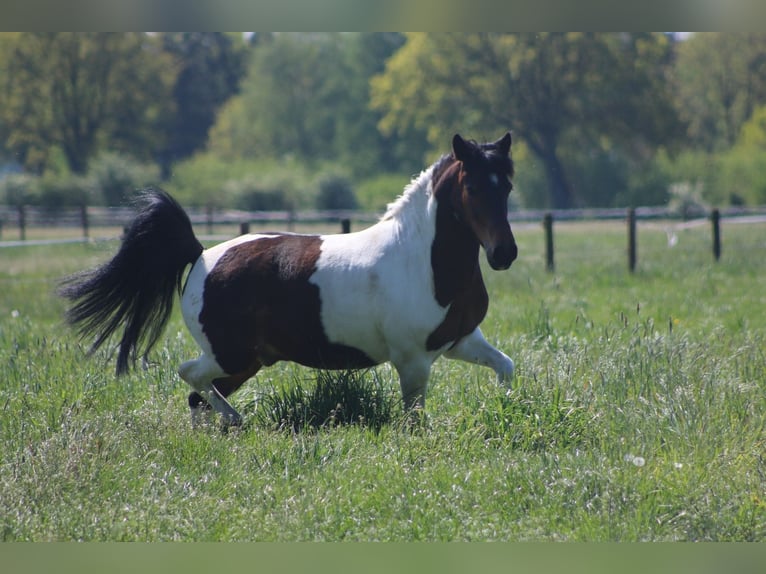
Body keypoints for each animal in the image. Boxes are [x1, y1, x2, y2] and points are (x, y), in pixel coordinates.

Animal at [58, 132, 516, 428]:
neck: (423, 259)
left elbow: (505, 368)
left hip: (248, 361)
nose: (504, 253)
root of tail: (202, 255)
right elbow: (415, 419)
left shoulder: (460, 341)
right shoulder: (413, 359)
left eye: (507, 186)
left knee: (198, 396)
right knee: (191, 376)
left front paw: (506, 409)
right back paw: (237, 421)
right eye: (473, 187)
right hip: (231, 354)